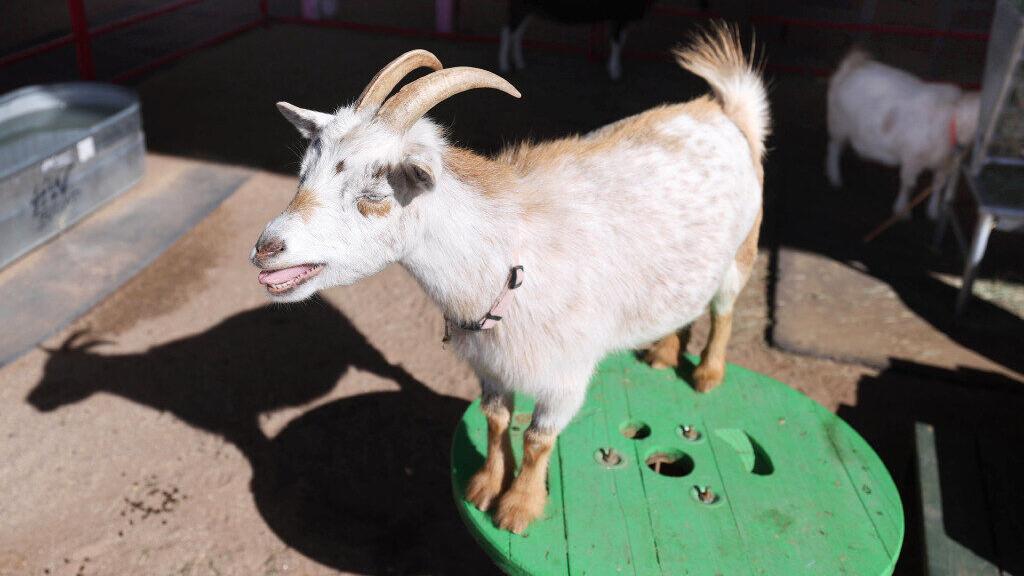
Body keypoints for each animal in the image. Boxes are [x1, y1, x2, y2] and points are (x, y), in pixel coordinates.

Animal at [253, 24, 768, 534]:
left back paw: (706, 374)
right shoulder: (490, 367)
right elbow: (496, 419)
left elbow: (539, 438)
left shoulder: (565, 377)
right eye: (303, 173)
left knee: (724, 310)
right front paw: (484, 487)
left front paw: (519, 508)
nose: (265, 249)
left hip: (742, 252)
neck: (505, 258)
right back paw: (662, 354)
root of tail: (724, 111)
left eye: (376, 194)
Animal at [499, 0, 651, 80]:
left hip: (528, 9)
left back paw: (519, 63)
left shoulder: (623, 18)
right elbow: (617, 42)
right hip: (520, 7)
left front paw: (615, 67)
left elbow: (620, 41)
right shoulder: (620, 16)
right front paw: (614, 71)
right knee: (507, 32)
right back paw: (504, 65)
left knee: (517, 33)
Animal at [826, 49, 980, 219]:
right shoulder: (912, 158)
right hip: (838, 123)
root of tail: (853, 65)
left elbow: (938, 185)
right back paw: (834, 176)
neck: (951, 122)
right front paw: (902, 210)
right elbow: (908, 184)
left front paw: (933, 211)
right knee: (834, 147)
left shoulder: (944, 164)